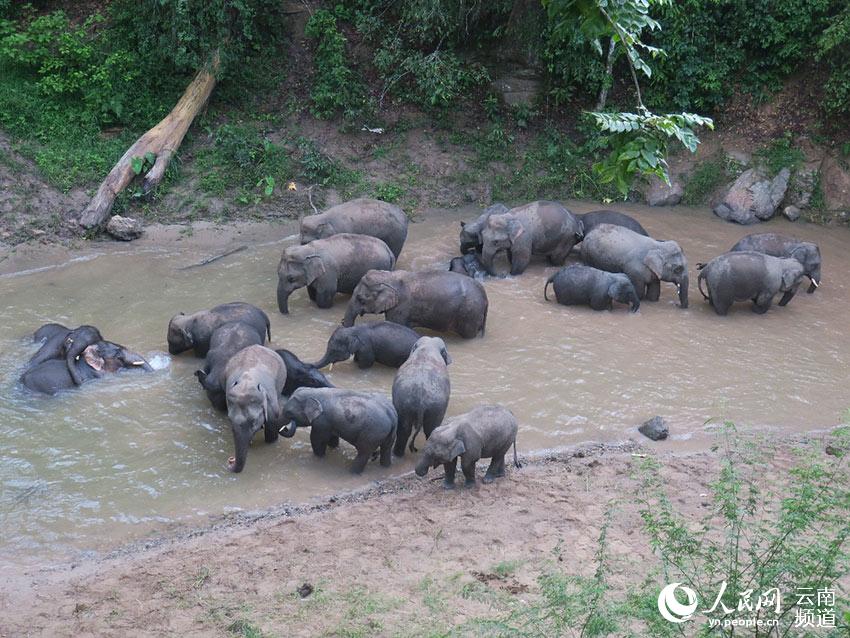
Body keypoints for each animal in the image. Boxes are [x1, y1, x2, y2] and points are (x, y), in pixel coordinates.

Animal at [223, 345, 287, 473]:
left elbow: (271, 427)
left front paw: (270, 441)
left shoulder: (272, 408)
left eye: (253, 421)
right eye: (230, 420)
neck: (247, 382)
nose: (230, 460)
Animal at [342, 270, 488, 339]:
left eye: (360, 299)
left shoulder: (400, 307)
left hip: (469, 313)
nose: (342, 323)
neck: (389, 277)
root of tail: (485, 297)